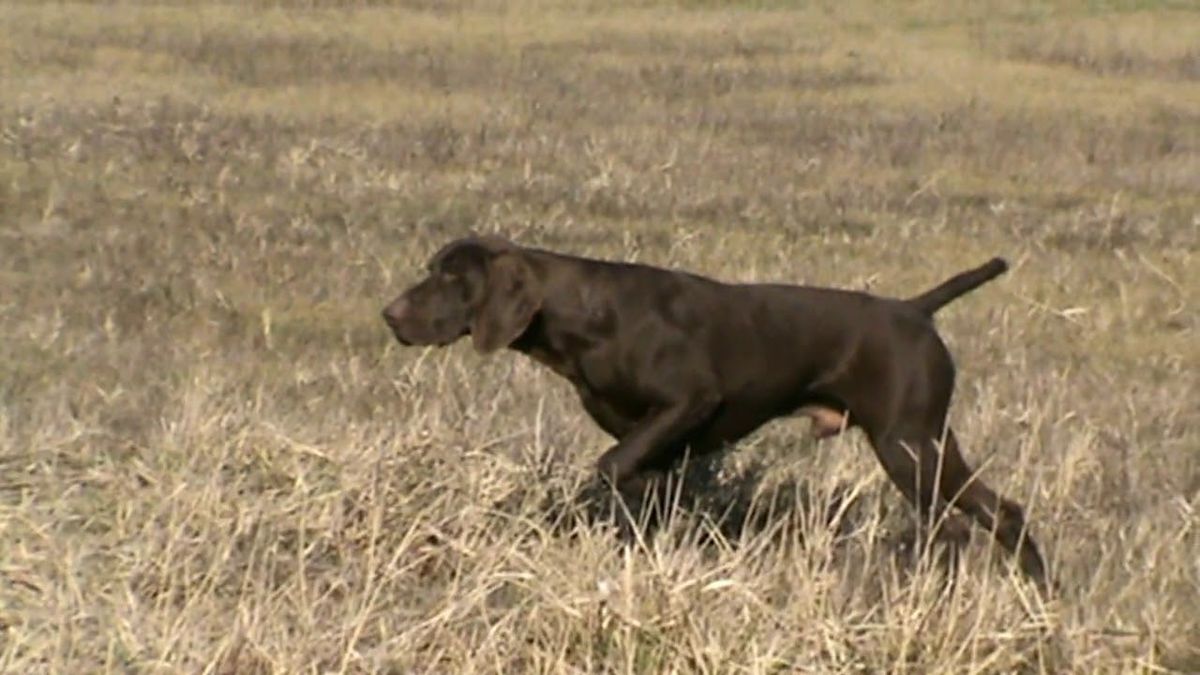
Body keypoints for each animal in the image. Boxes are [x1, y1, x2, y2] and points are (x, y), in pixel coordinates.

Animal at [379, 235, 1046, 583]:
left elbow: (610, 467)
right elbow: (640, 489)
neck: (584, 313)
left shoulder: (690, 401)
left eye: (451, 278)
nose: (390, 314)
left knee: (966, 522)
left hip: (907, 448)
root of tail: (915, 309)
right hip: (930, 445)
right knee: (998, 514)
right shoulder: (653, 440)